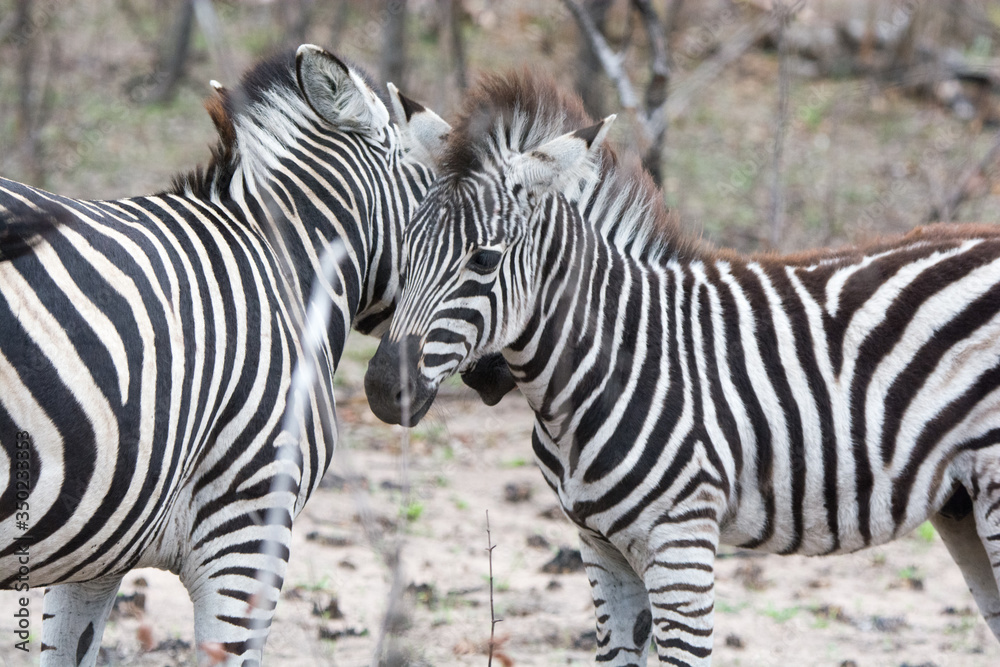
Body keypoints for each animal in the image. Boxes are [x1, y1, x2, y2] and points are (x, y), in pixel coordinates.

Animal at [364, 70, 1000, 666]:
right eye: (405, 244)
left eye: (483, 260)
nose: (380, 389)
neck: (600, 372)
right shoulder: (599, 549)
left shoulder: (682, 542)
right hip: (960, 505)